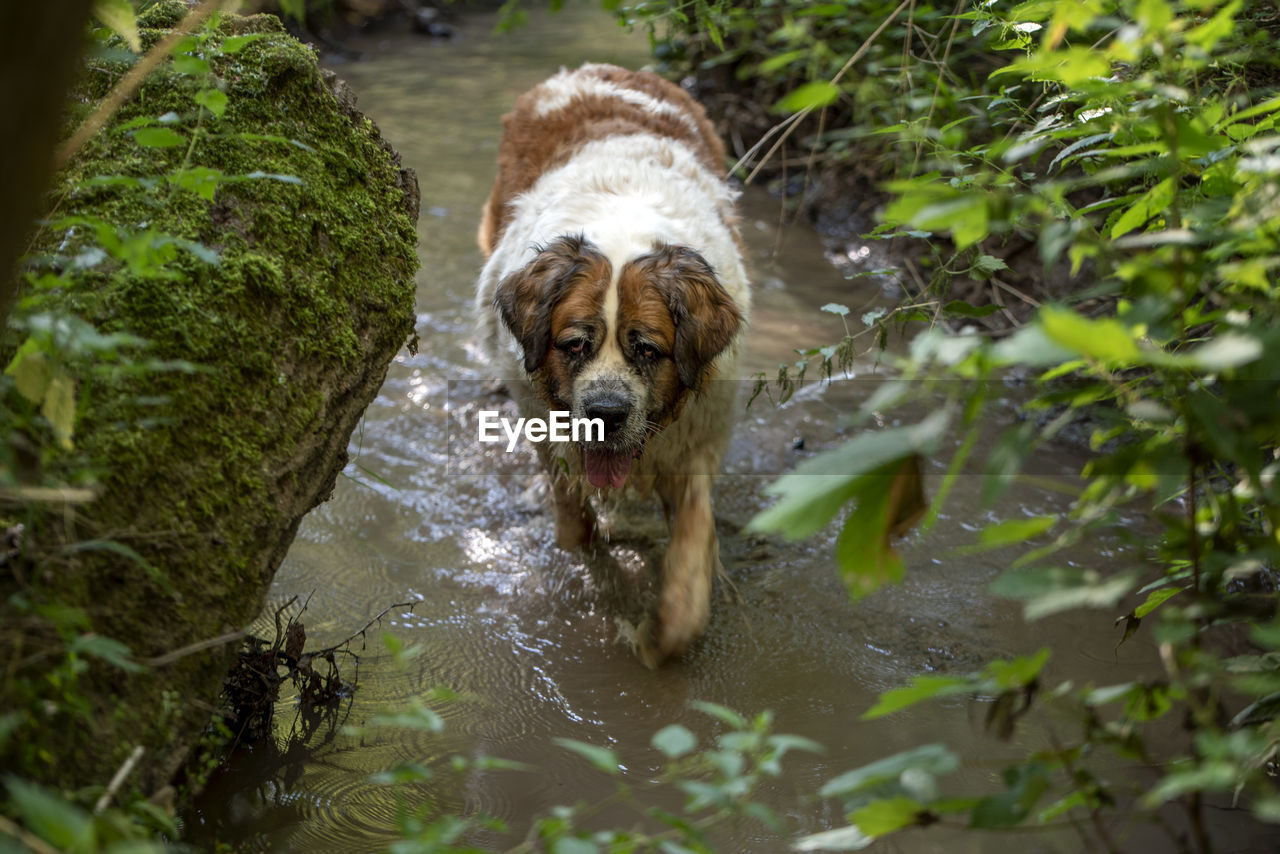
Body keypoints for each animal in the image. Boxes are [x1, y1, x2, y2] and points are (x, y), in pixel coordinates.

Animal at [473, 63, 747, 665]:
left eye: (646, 349)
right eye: (575, 345)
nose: (604, 413)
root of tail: (597, 69)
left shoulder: (697, 438)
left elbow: (692, 537)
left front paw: (663, 632)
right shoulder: (547, 427)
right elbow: (575, 526)